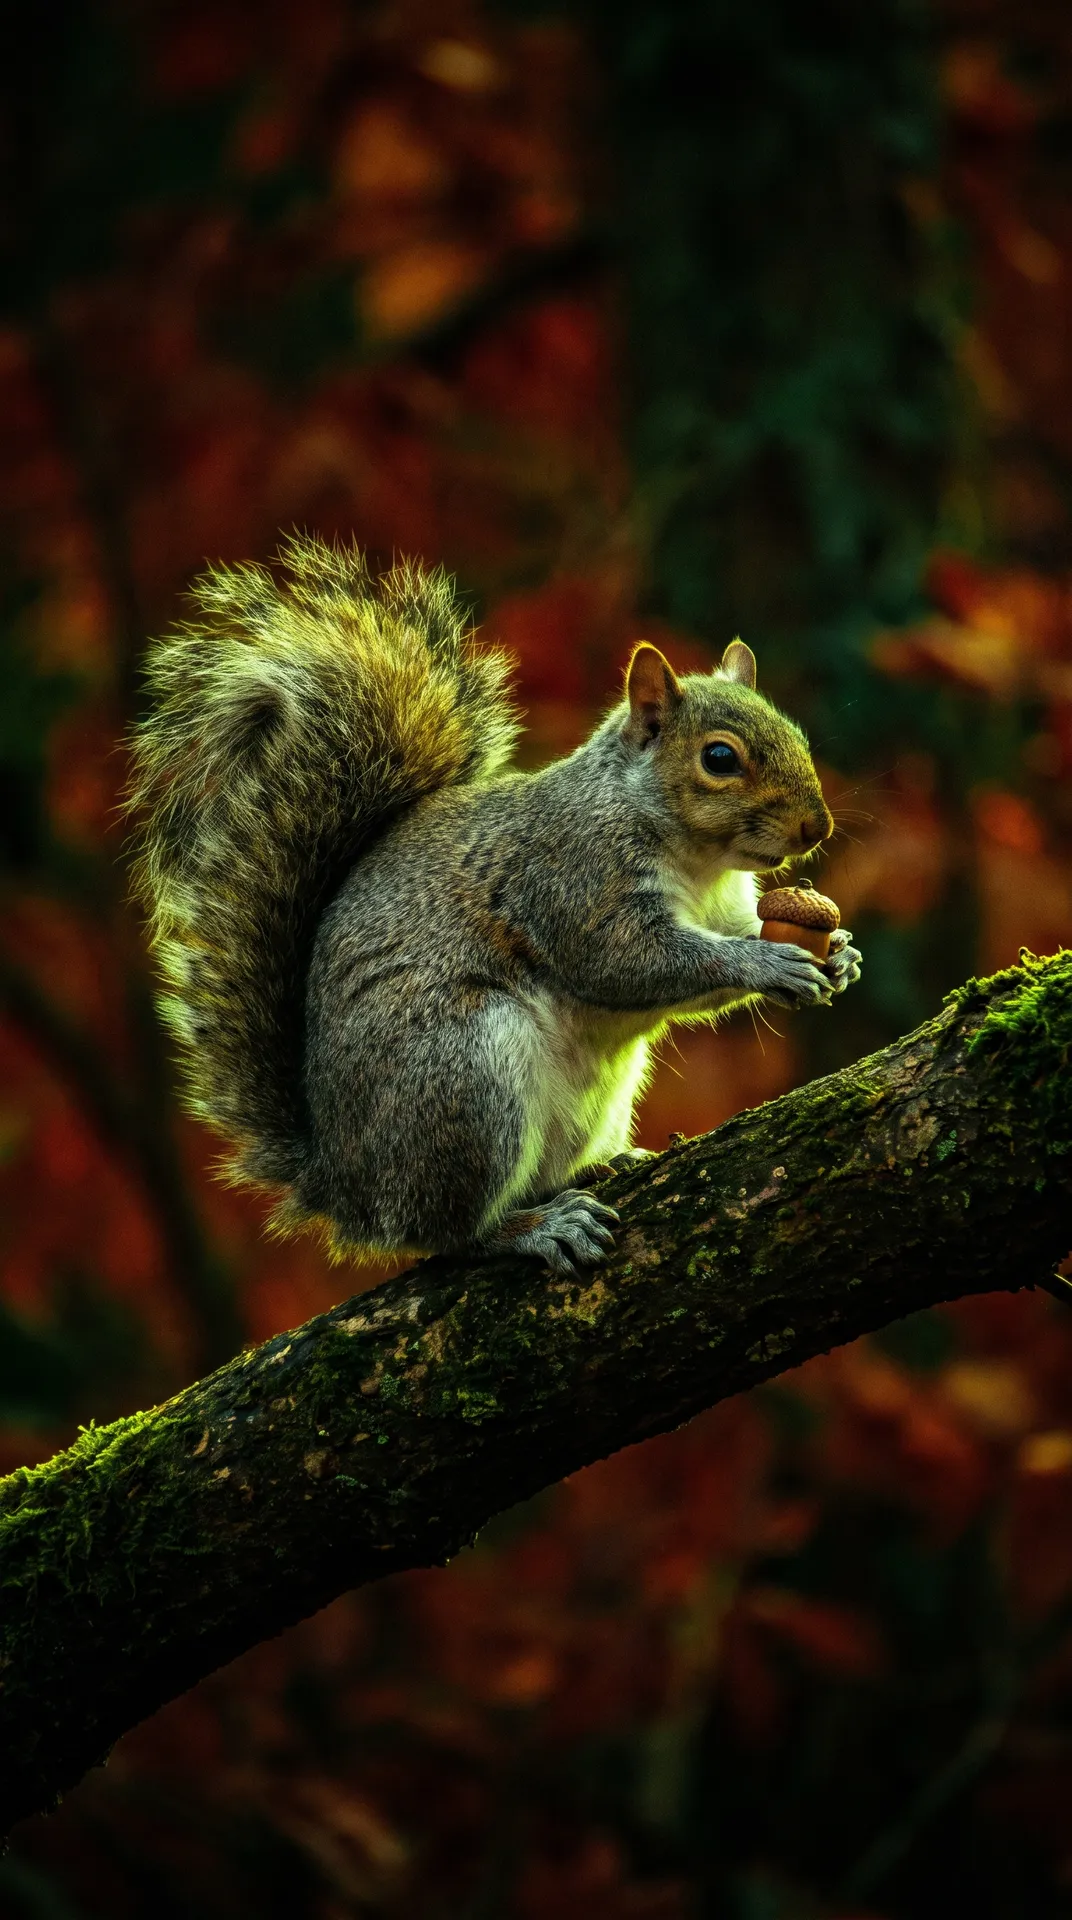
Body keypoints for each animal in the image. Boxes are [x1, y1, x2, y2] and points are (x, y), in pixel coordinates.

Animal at [129, 533, 861, 1277]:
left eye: (797, 735)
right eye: (719, 758)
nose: (816, 827)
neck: (697, 860)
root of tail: (344, 1185)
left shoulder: (725, 906)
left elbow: (731, 936)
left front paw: (837, 954)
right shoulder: (573, 879)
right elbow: (629, 962)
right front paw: (767, 964)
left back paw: (604, 1165)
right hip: (465, 1075)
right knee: (447, 1232)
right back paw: (534, 1228)